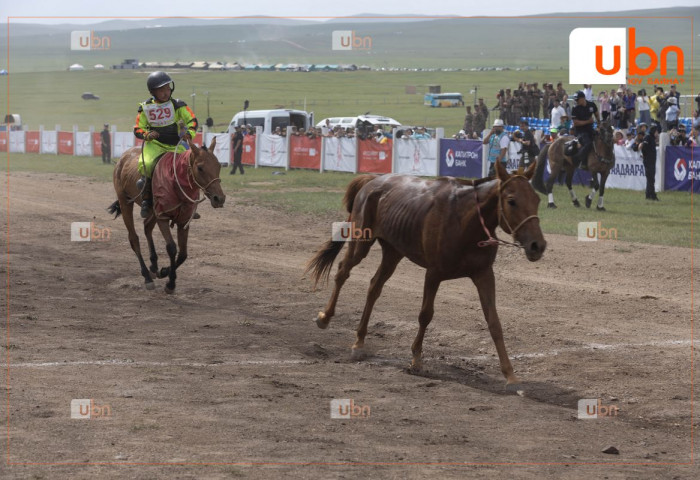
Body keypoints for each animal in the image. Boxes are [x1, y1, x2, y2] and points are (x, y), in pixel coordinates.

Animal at [108, 136, 226, 292]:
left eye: (218, 166)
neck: (176, 182)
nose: (219, 198)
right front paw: (170, 283)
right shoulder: (162, 217)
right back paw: (146, 275)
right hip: (125, 202)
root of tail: (122, 158)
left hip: (152, 211)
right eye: (200, 168)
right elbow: (172, 248)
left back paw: (153, 266)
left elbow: (183, 254)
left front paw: (164, 271)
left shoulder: (183, 222)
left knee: (147, 227)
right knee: (134, 238)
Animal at [308, 161, 548, 390]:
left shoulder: (484, 274)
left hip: (393, 251)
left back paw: (359, 341)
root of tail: (372, 181)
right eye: (511, 201)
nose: (538, 245)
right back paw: (325, 317)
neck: (465, 222)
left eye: (537, 199)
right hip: (360, 242)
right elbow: (425, 315)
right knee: (342, 272)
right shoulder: (433, 274)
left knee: (374, 287)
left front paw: (510, 375)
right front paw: (416, 359)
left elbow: (494, 323)